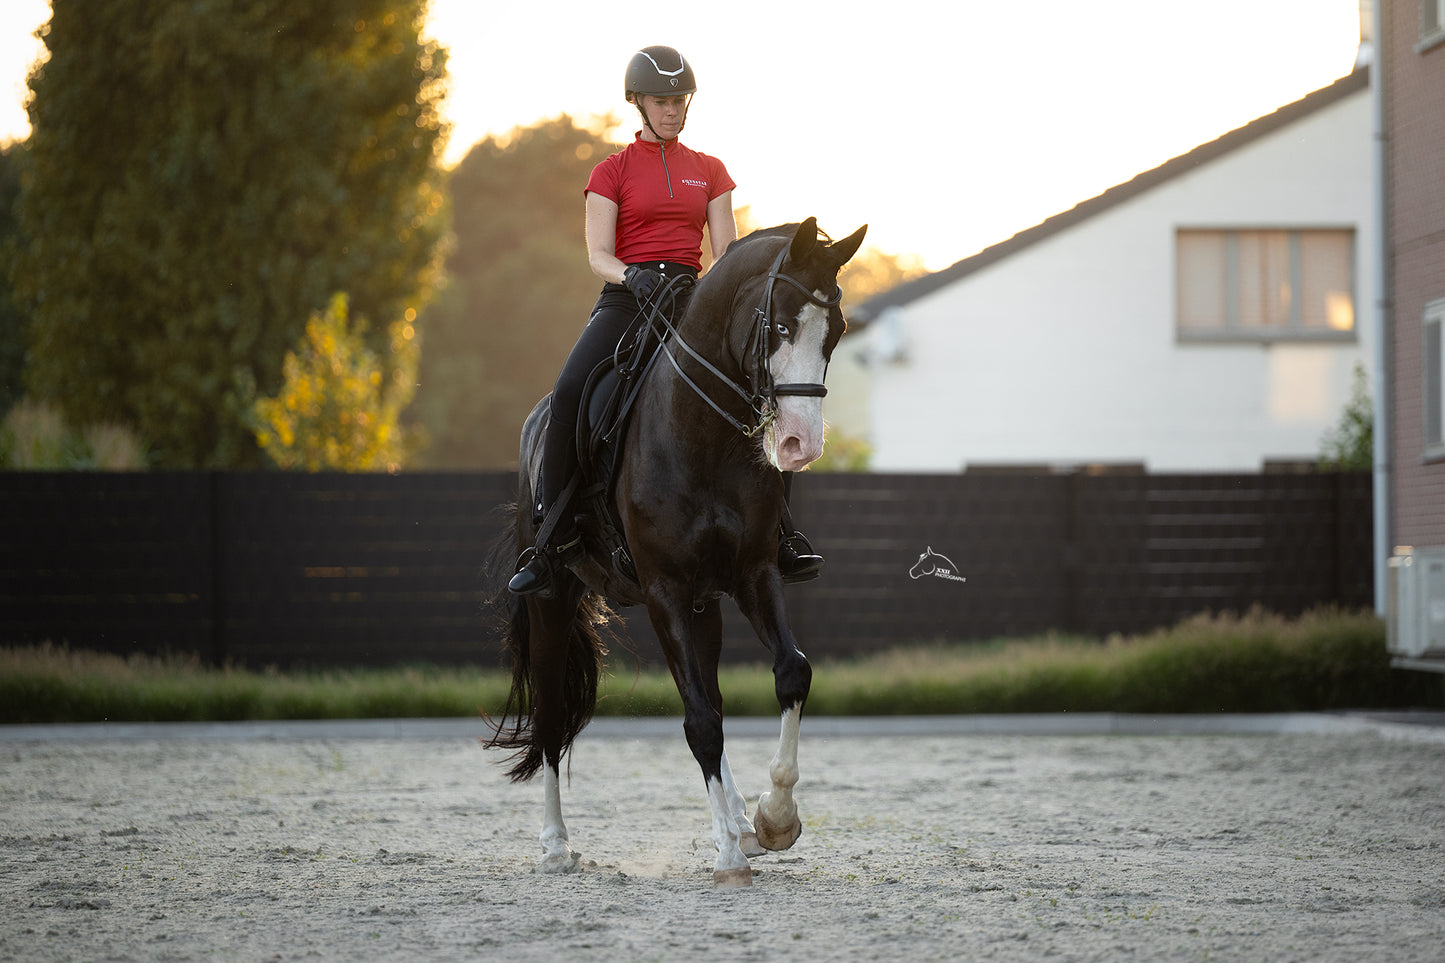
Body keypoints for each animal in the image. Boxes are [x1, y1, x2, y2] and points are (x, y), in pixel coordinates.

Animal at [485, 216, 867, 884]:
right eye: (779, 326)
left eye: (837, 331)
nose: (800, 443)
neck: (700, 433)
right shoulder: (663, 590)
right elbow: (699, 723)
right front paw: (728, 857)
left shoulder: (753, 575)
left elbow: (789, 674)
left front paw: (773, 820)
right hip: (553, 600)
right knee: (553, 712)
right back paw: (556, 846)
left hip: (703, 605)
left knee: (709, 690)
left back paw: (739, 821)